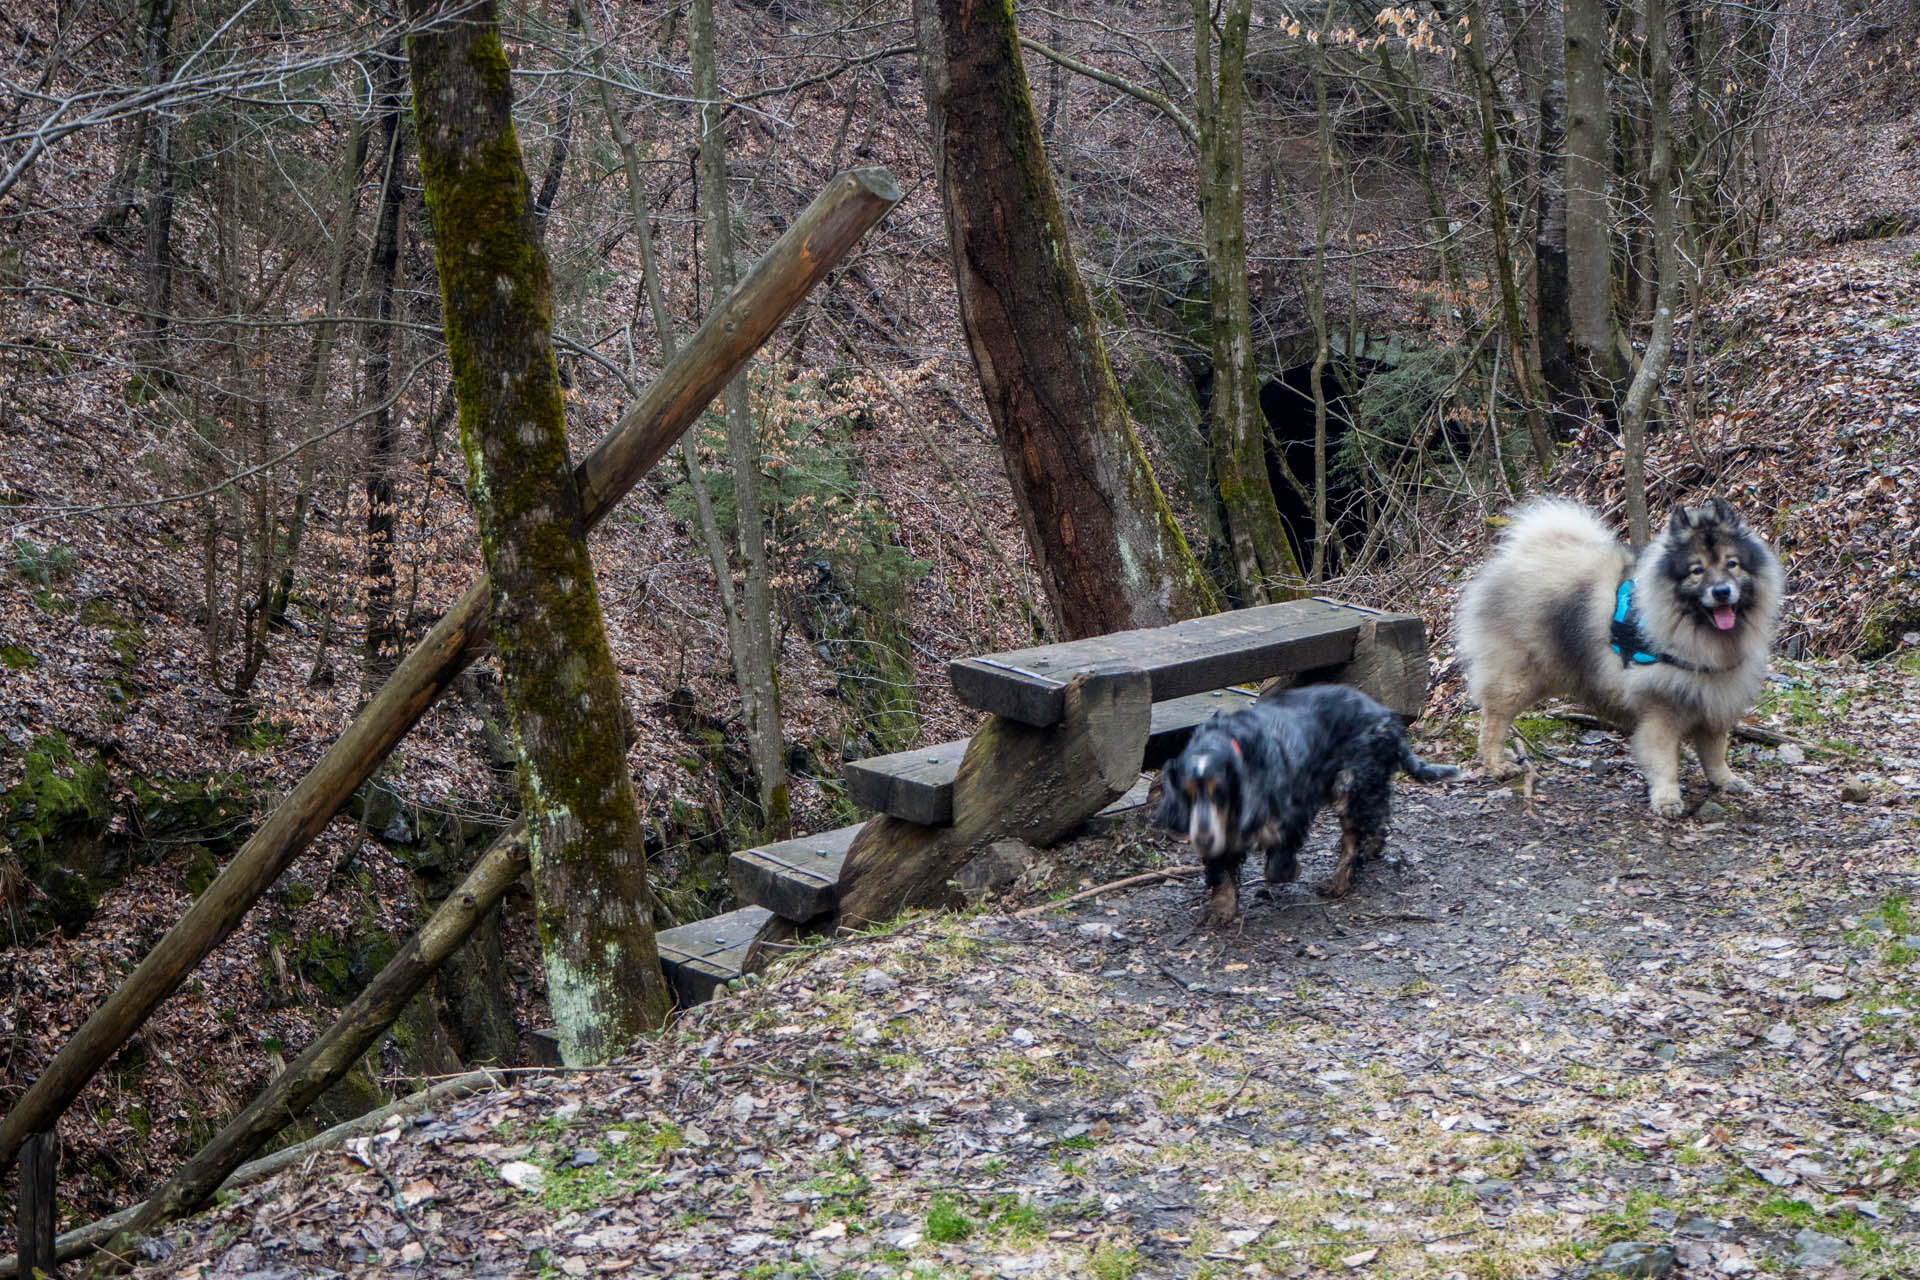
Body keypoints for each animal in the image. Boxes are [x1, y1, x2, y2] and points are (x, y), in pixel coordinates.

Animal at [1152, 687, 1451, 924]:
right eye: (1187, 796)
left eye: (1221, 794)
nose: (1202, 840)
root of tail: (1387, 718)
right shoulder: (1219, 832)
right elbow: (1221, 870)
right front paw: (1221, 910)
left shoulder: (1292, 810)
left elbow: (1276, 863)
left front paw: (1290, 870)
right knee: (1376, 818)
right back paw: (1371, 849)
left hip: (1349, 784)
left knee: (1355, 838)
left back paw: (1338, 882)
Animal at [1451, 495, 1781, 817]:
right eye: (1696, 570)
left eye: (1732, 564)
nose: (1722, 591)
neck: (1698, 632)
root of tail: (1518, 556)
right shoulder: (1661, 708)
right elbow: (1665, 760)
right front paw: (1667, 799)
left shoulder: (1713, 698)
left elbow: (1714, 751)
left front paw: (1724, 780)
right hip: (1517, 678)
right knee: (1493, 720)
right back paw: (1497, 764)